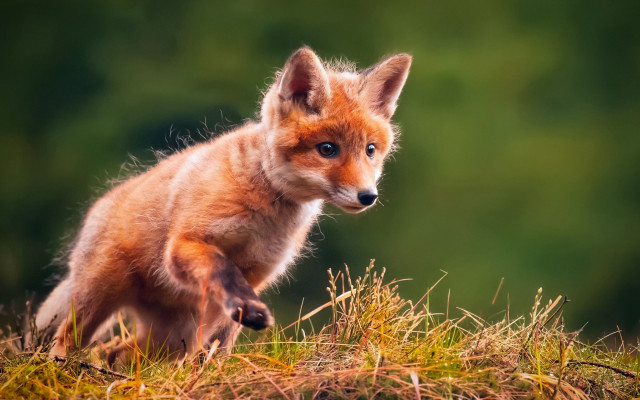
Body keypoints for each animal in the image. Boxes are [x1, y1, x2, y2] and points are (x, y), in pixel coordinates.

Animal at [35, 47, 411, 364]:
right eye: (327, 149)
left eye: (370, 150)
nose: (368, 196)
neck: (266, 214)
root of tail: (98, 209)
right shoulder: (186, 245)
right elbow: (223, 270)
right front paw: (248, 311)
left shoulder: (257, 272)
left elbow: (220, 339)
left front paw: (209, 371)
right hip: (100, 296)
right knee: (67, 340)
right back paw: (61, 367)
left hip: (170, 337)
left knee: (119, 353)